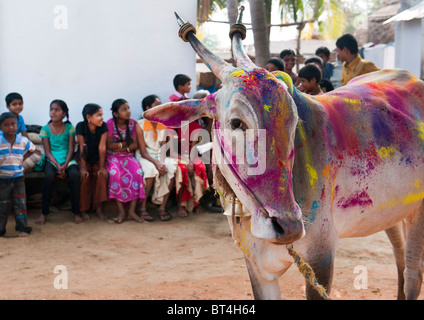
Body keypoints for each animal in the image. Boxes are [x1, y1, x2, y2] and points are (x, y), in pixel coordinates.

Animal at [143, 11, 424, 298]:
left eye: (294, 120)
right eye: (236, 123)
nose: (288, 226)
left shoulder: (321, 255)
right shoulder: (256, 266)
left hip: (418, 213)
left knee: (413, 273)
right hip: (392, 212)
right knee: (399, 256)